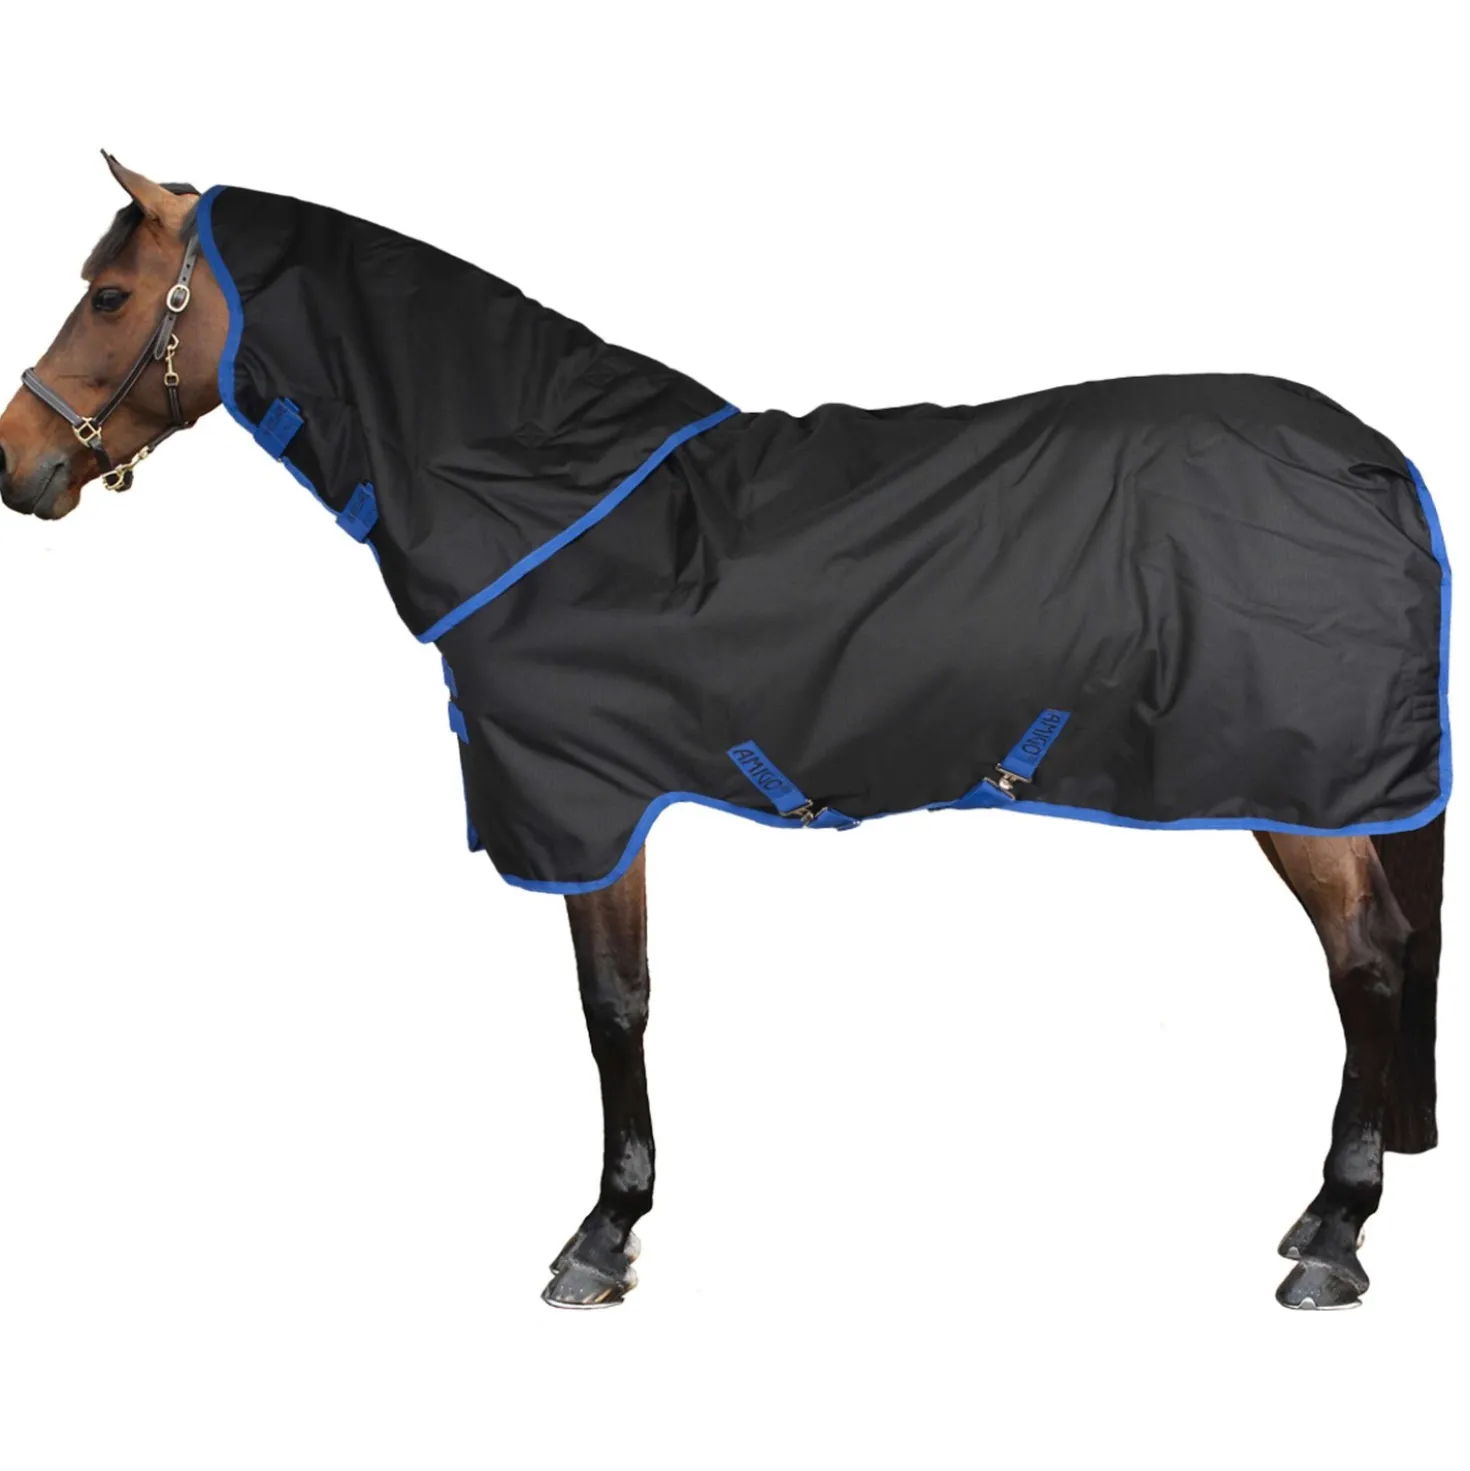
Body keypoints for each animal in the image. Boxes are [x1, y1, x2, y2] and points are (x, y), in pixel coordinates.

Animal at [0, 156, 1447, 1311]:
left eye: (112, 297)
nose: (20, 463)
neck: (554, 501)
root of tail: (1371, 455)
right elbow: (625, 1000)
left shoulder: (584, 806)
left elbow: (613, 1006)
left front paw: (602, 1234)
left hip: (1297, 787)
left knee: (1367, 959)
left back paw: (1334, 1235)